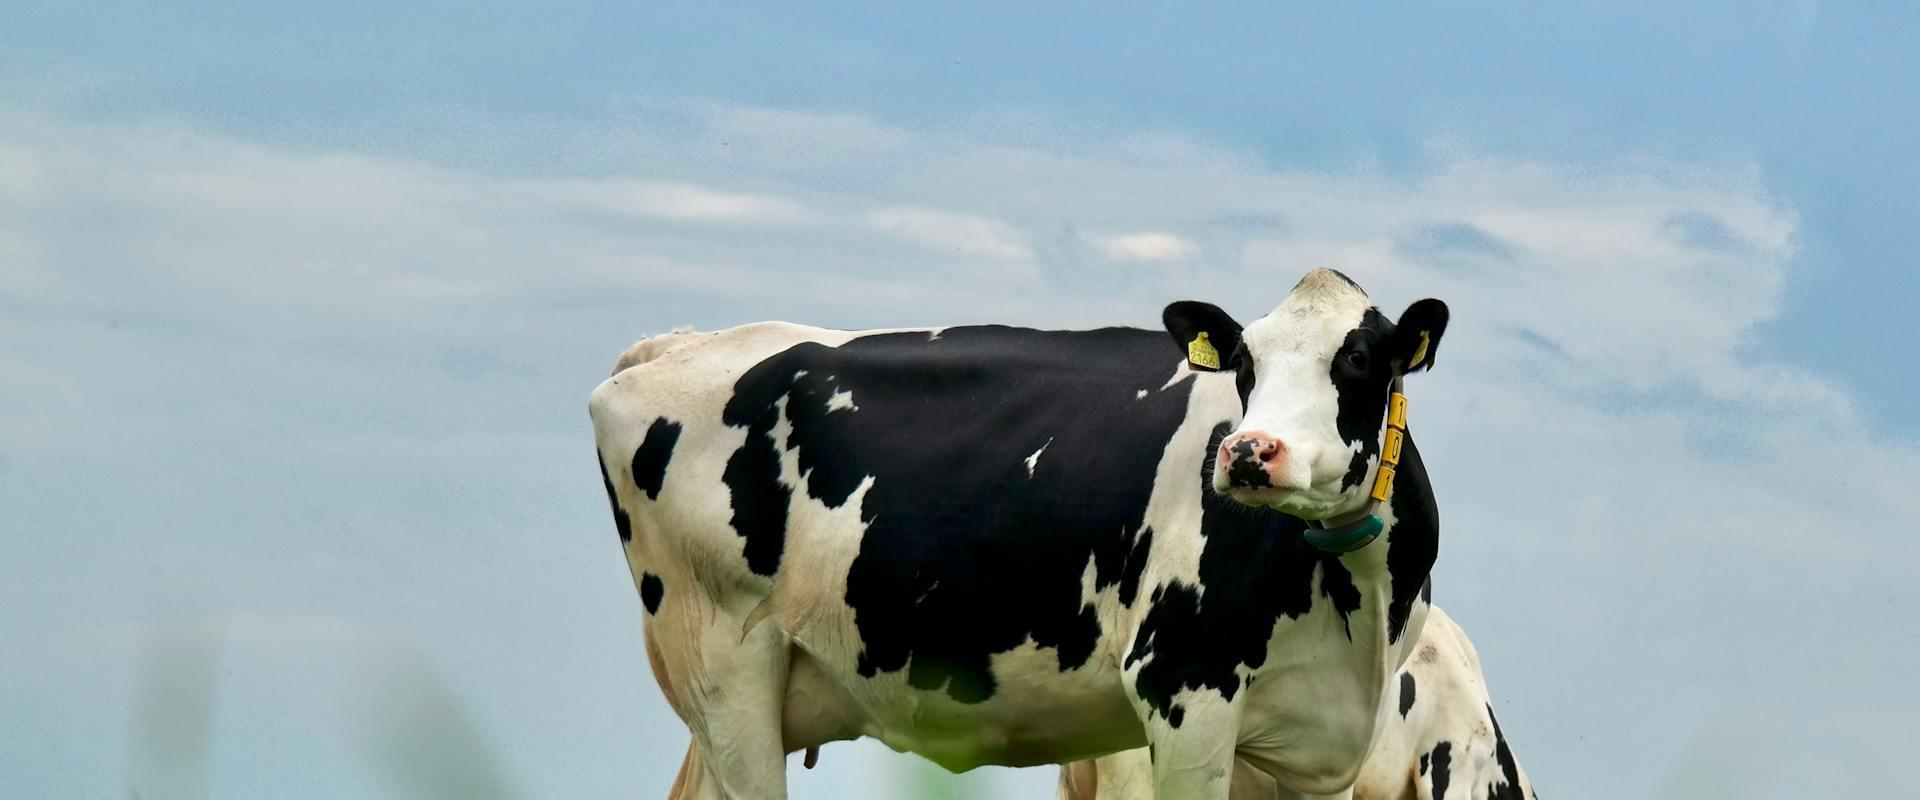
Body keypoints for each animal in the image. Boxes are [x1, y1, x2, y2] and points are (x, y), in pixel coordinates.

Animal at [588, 269, 1453, 798]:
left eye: (1360, 358)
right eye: (1244, 361)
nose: (1248, 452)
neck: (1356, 609)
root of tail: (680, 344)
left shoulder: (1306, 740)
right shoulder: (1182, 687)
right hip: (722, 663)